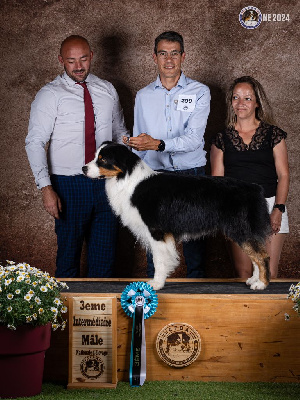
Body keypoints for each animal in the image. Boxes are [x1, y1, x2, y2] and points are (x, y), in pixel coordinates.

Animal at [82, 141, 272, 290]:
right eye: (96, 156)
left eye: (103, 159)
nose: (83, 168)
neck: (128, 179)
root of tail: (255, 188)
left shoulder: (157, 231)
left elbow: (159, 260)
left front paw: (156, 284)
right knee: (255, 255)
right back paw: (253, 280)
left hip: (240, 228)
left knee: (262, 256)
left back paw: (261, 284)